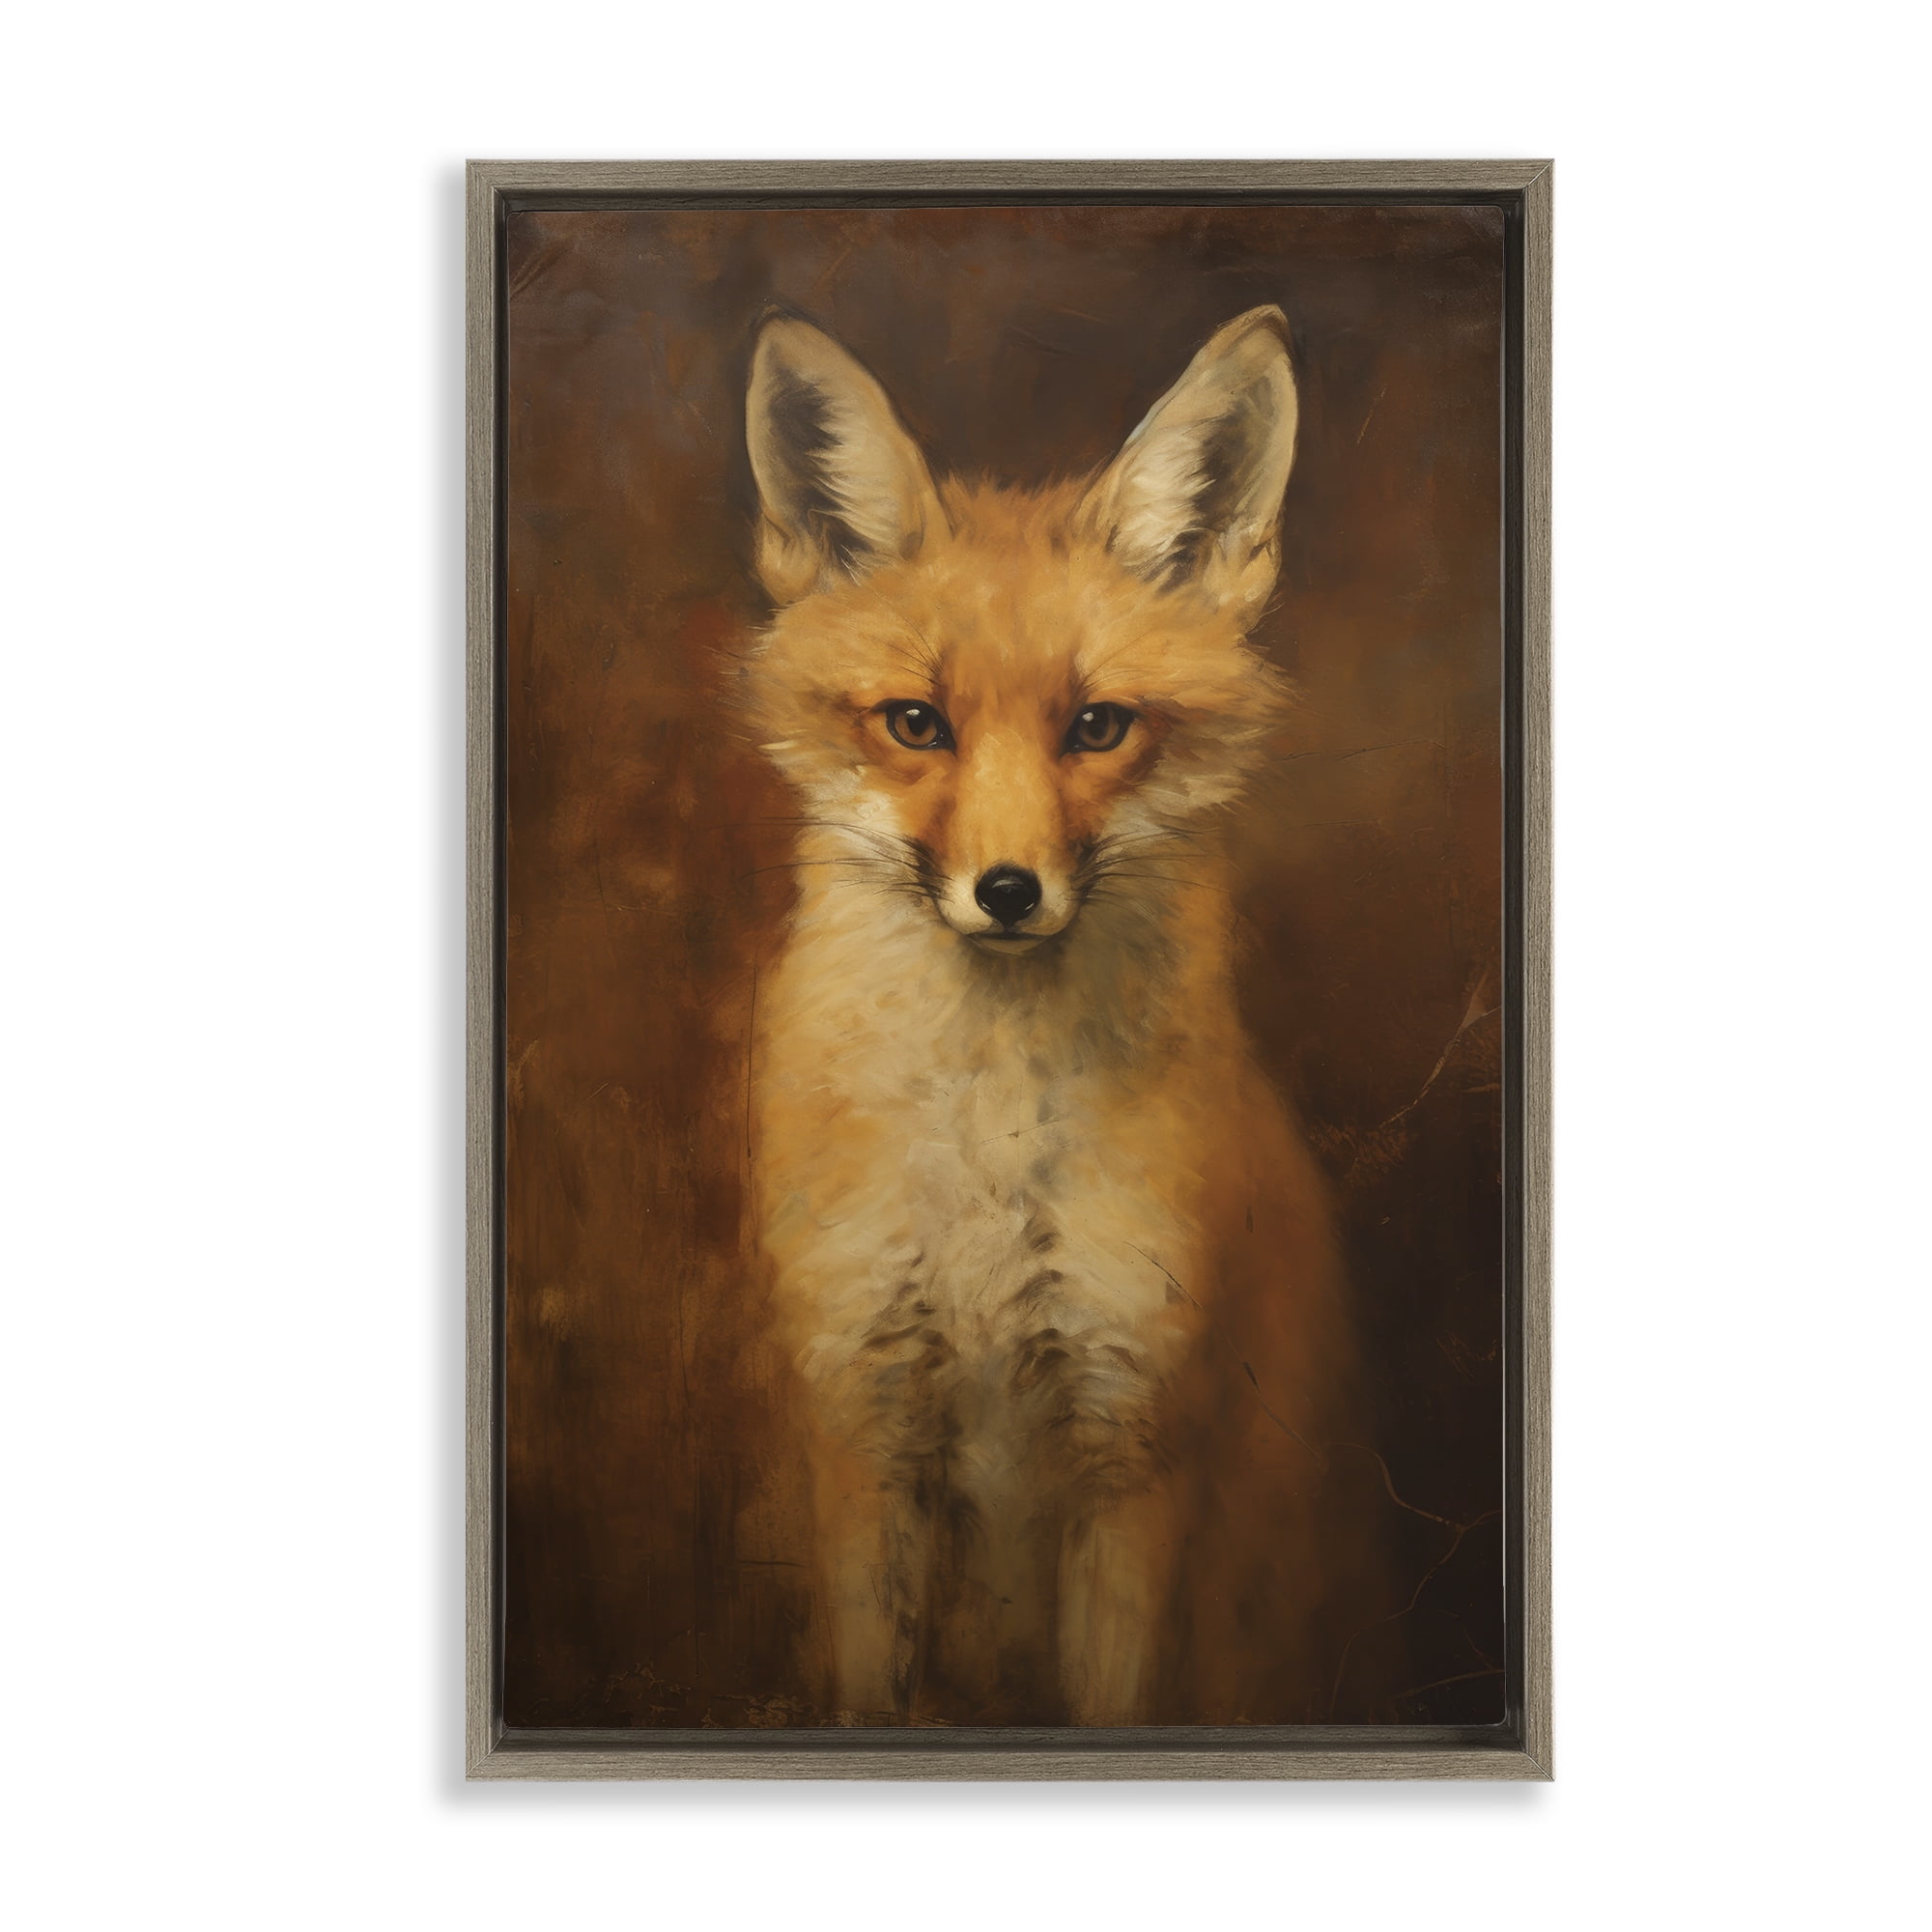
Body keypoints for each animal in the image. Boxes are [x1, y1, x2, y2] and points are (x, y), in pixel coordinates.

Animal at [738, 306, 1375, 1727]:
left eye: (1097, 726)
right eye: (916, 722)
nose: (1008, 891)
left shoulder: (1135, 1443)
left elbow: (1114, 1696)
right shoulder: (864, 1427)